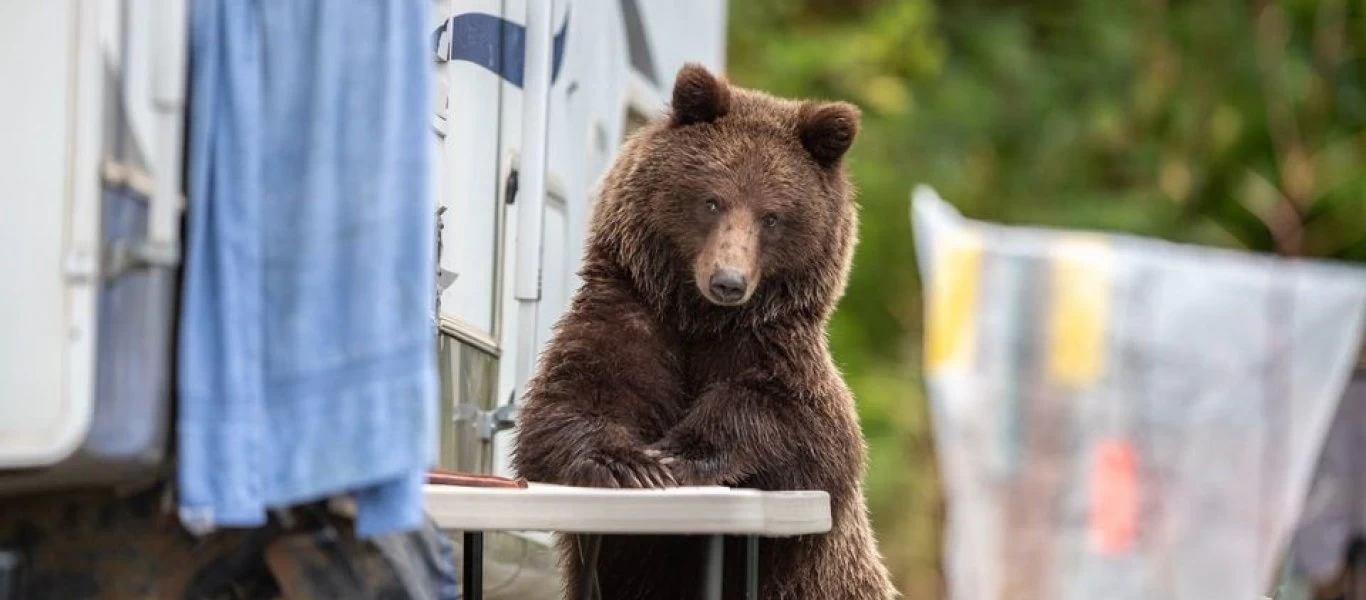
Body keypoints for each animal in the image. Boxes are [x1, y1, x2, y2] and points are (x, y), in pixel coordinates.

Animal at [513, 63, 896, 598]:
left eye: (771, 216)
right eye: (712, 201)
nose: (728, 281)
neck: (699, 319)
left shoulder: (768, 346)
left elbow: (795, 422)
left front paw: (678, 455)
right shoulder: (633, 316)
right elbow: (571, 399)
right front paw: (631, 465)